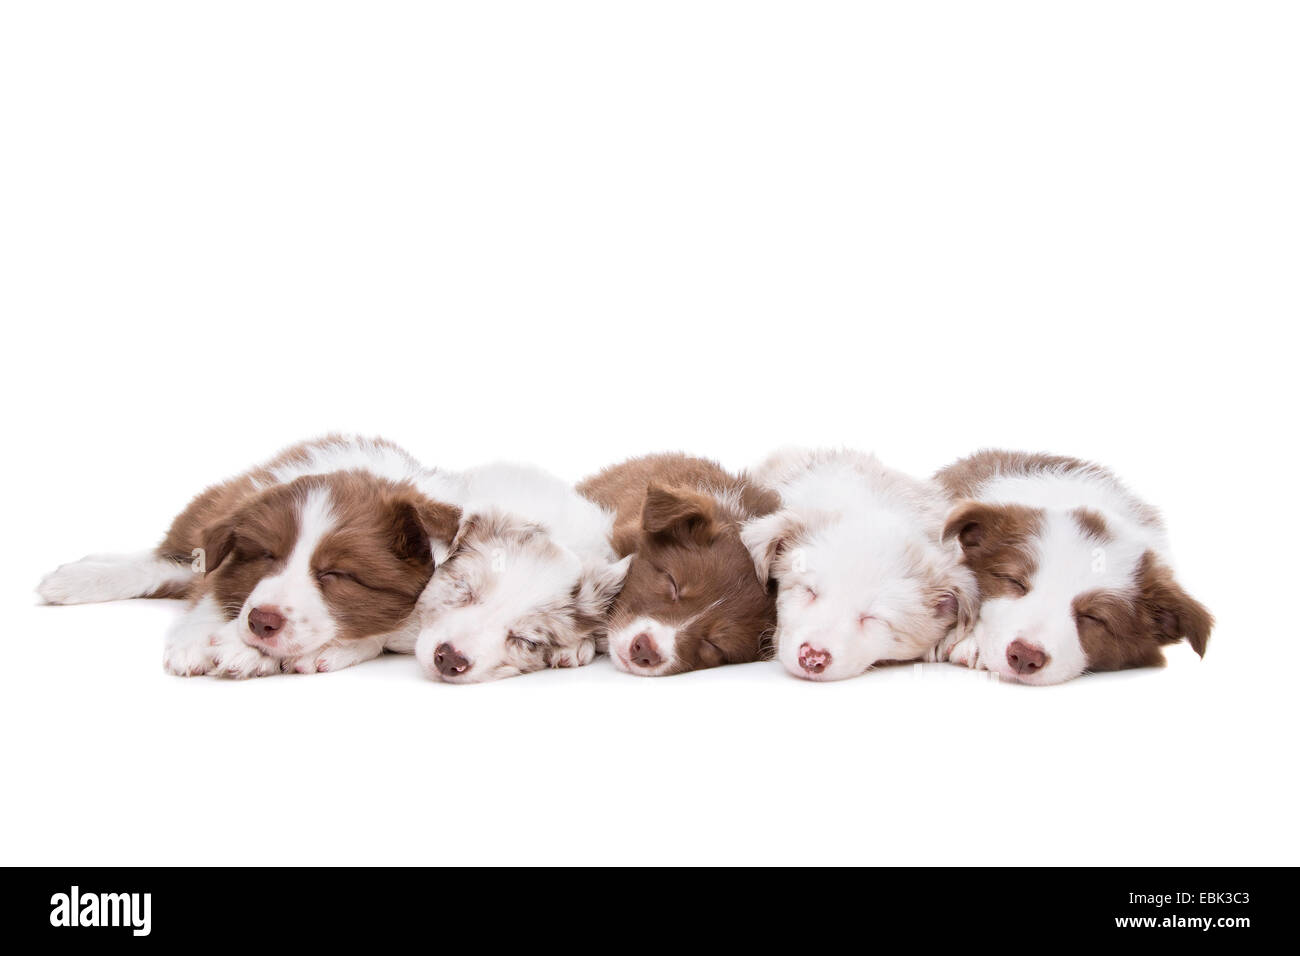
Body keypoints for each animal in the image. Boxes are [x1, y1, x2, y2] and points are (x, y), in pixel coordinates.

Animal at [38, 437, 462, 676]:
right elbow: (211, 594)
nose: (262, 622)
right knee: (163, 563)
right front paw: (204, 644)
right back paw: (71, 579)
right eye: (267, 556)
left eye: (337, 574)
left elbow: (392, 630)